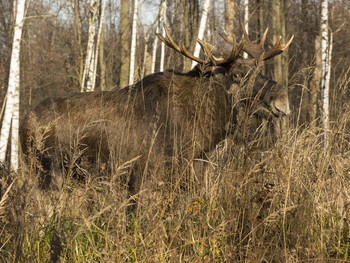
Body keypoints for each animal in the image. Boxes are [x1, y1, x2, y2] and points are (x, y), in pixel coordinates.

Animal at [19, 25, 292, 192]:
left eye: (259, 69)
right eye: (236, 74)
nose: (282, 101)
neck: (208, 128)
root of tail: (23, 123)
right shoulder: (146, 174)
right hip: (45, 172)